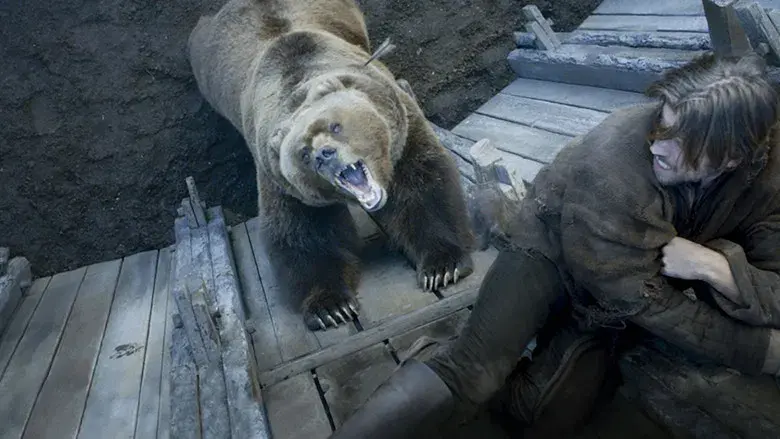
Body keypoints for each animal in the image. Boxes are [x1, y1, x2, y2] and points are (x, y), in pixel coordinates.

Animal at [187, 0, 476, 331]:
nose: (324, 154)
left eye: (335, 125)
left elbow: (422, 187)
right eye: (302, 152)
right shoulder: (283, 182)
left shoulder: (400, 131)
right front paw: (331, 307)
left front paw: (442, 267)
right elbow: (303, 233)